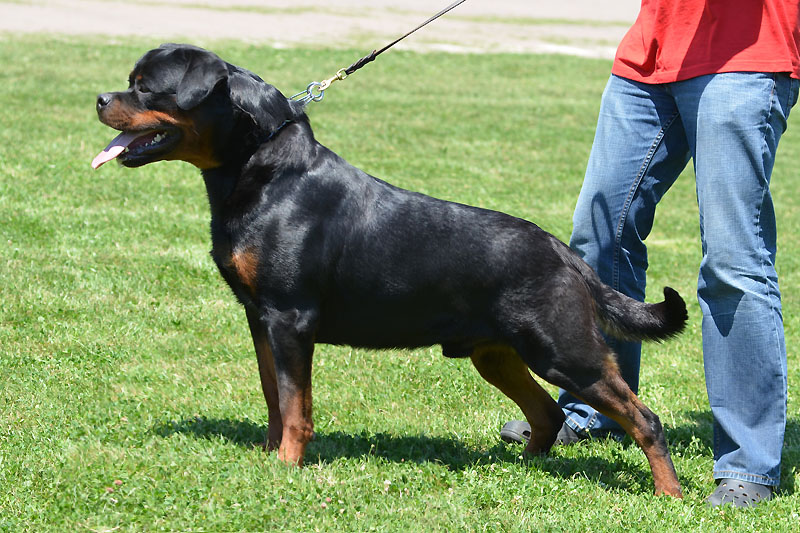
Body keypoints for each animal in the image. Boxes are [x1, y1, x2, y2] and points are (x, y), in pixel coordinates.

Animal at [94, 44, 688, 494]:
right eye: (128, 83)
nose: (99, 99)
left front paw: (287, 466)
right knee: (548, 414)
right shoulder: (259, 317)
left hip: (565, 351)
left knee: (644, 419)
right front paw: (268, 454)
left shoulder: (290, 318)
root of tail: (563, 253)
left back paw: (669, 494)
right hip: (496, 353)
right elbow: (272, 394)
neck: (260, 171)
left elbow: (295, 404)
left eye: (146, 88)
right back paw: (520, 469)